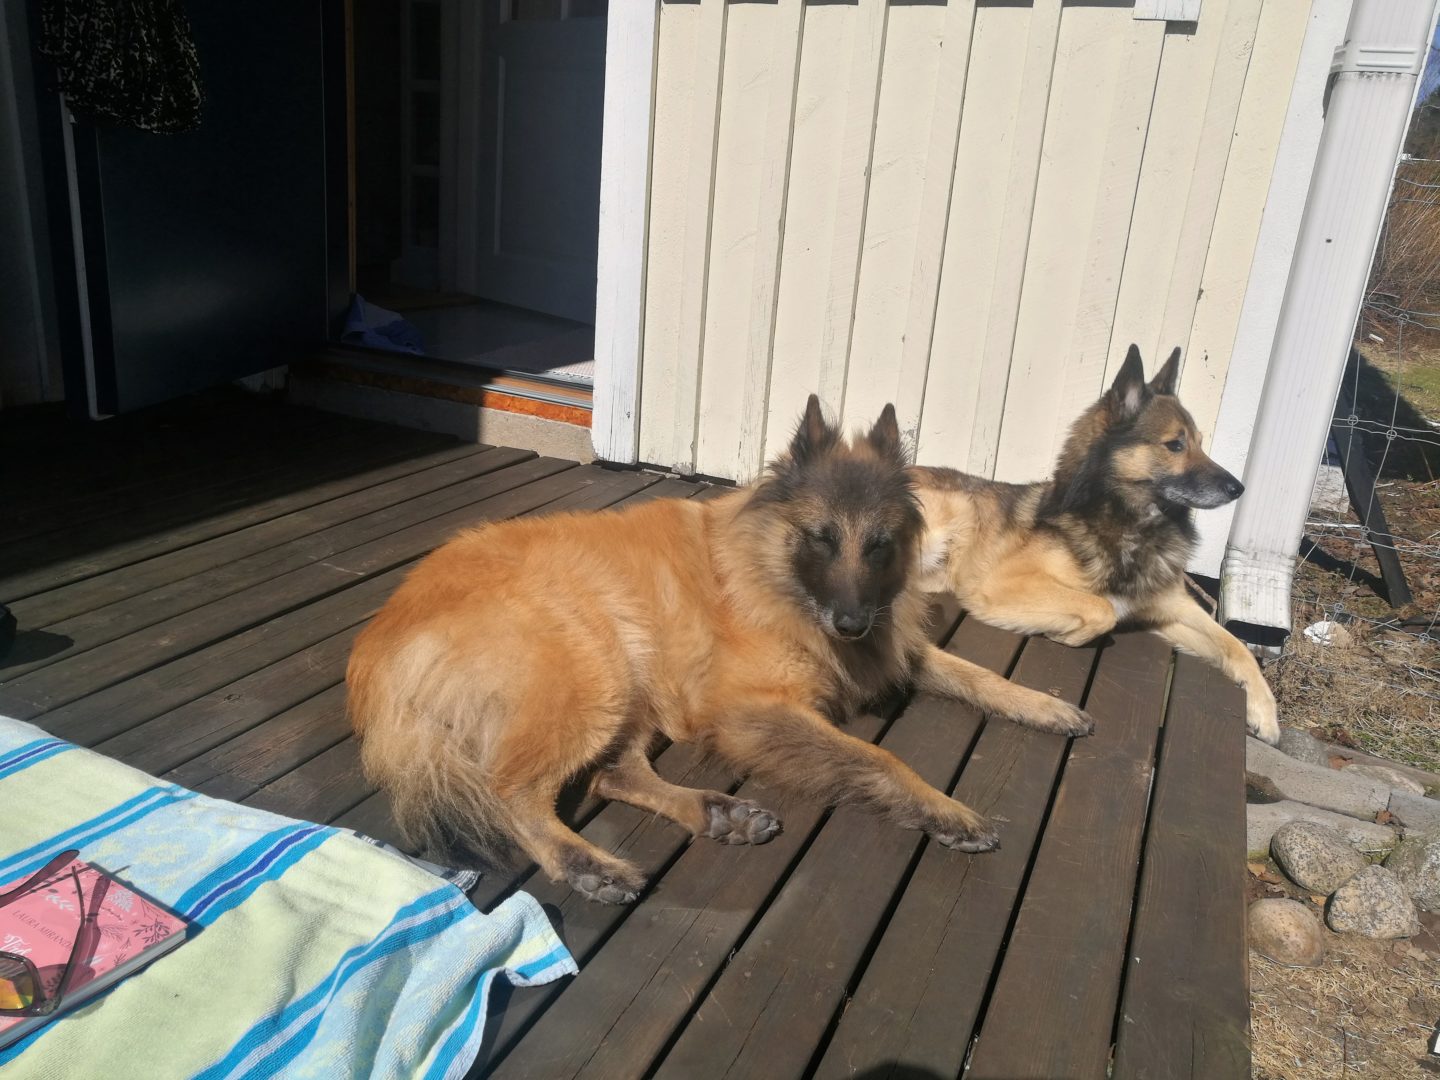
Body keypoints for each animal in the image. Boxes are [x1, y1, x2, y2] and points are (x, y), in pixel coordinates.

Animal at [348, 397, 1088, 904]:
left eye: (877, 544)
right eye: (820, 538)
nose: (850, 624)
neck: (769, 574)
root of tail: (377, 649)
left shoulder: (888, 648)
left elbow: (978, 674)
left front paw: (1045, 706)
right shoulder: (749, 708)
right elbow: (877, 756)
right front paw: (944, 809)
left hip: (632, 686)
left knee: (612, 774)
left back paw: (718, 812)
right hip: (597, 670)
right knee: (513, 791)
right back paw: (589, 865)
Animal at [915, 344, 1278, 743]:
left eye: (1200, 442)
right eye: (1175, 444)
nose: (1238, 489)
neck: (1131, 524)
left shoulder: (1174, 608)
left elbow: (1237, 646)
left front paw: (1265, 714)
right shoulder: (1004, 583)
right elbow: (1101, 608)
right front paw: (1063, 633)